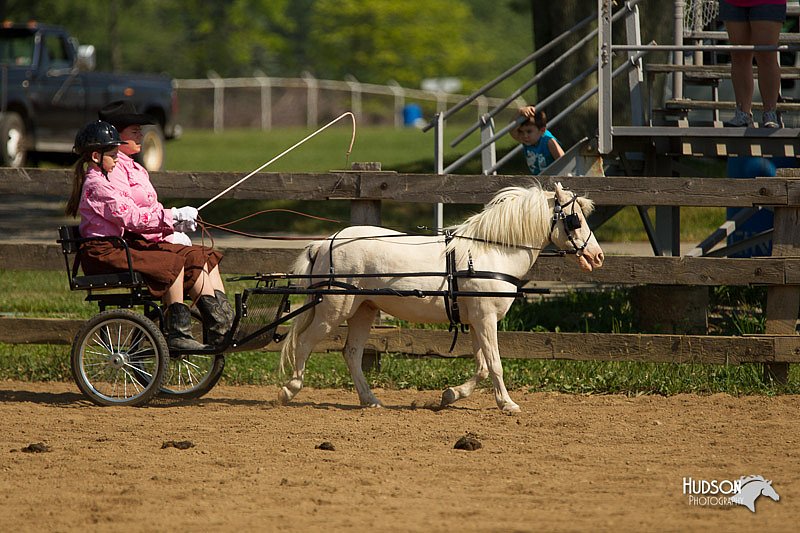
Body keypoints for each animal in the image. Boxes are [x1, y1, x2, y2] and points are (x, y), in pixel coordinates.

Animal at [278, 183, 604, 412]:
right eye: (575, 219)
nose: (597, 255)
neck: (492, 252)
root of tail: (324, 243)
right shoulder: (486, 319)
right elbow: (495, 363)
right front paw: (508, 404)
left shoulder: (476, 321)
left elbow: (482, 366)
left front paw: (450, 395)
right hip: (334, 310)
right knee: (304, 342)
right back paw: (290, 389)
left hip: (364, 310)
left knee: (352, 353)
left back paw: (370, 399)